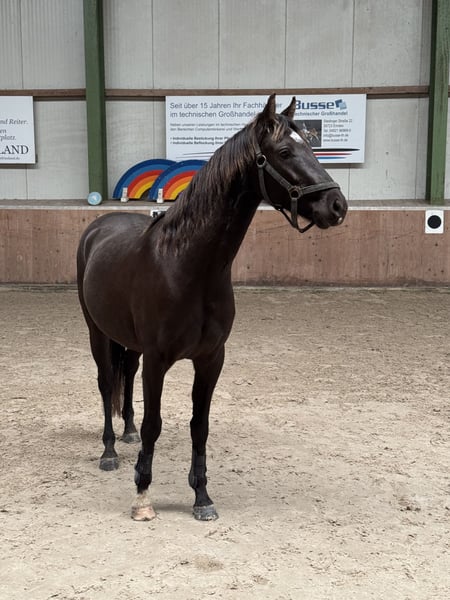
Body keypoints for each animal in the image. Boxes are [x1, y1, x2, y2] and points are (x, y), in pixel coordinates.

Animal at [76, 94, 347, 522]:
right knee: (106, 385)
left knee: (126, 378)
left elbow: (198, 426)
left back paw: (127, 433)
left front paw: (201, 496)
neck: (188, 267)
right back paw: (109, 451)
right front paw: (142, 495)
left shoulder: (210, 358)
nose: (337, 205)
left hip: (130, 345)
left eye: (310, 144)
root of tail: (98, 227)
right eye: (285, 151)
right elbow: (155, 423)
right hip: (97, 333)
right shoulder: (158, 360)